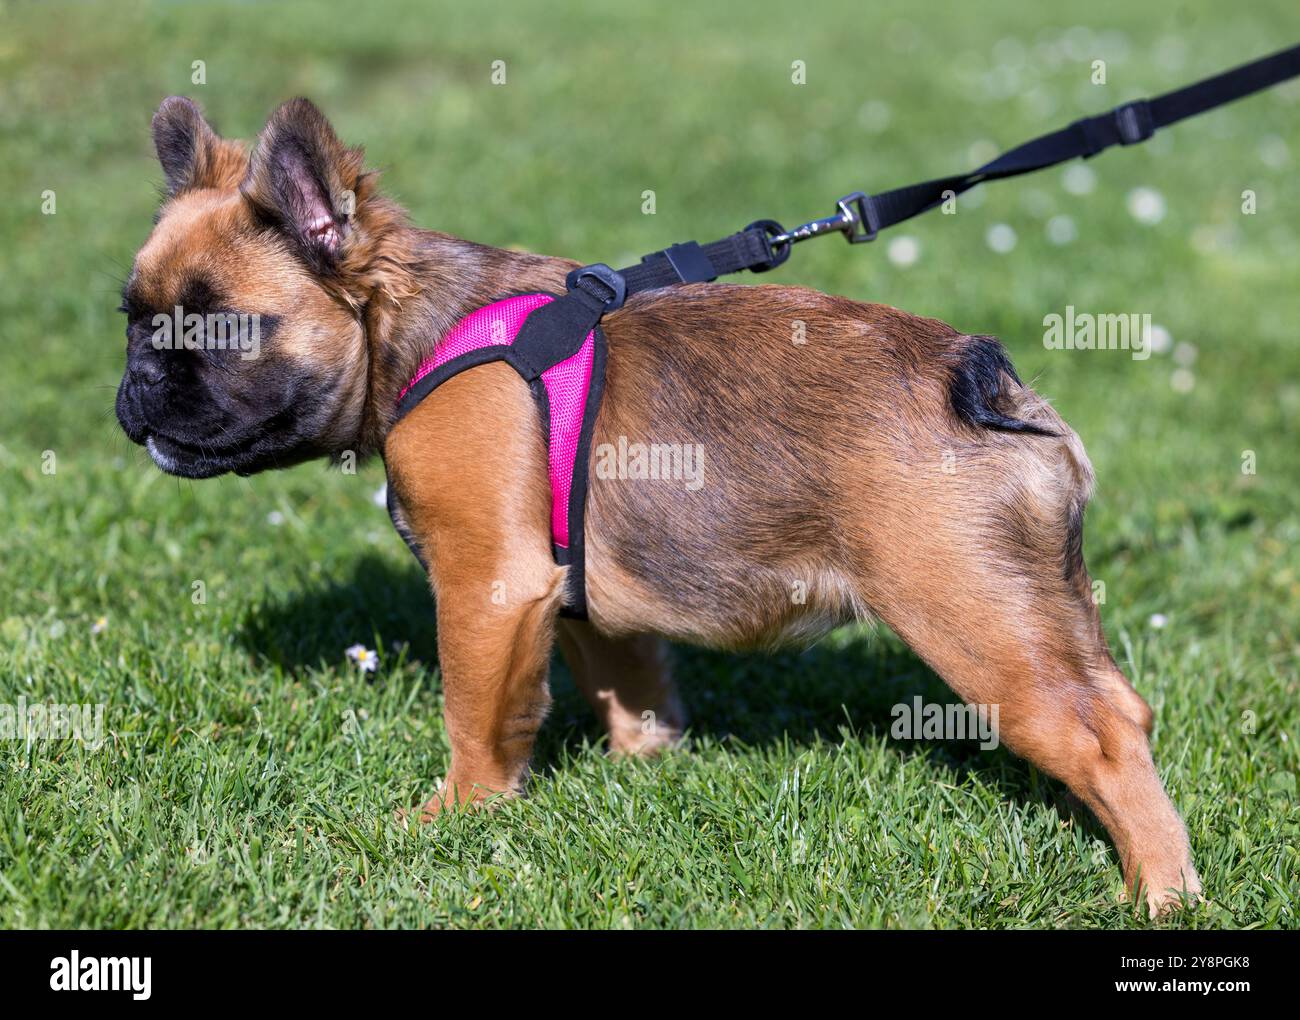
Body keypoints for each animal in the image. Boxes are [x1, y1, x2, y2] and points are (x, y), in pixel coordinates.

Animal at [116, 97, 1201, 914]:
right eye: (134, 319)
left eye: (218, 329)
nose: (137, 381)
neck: (410, 330)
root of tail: (976, 377)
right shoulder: (573, 591)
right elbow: (624, 677)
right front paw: (646, 766)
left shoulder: (487, 585)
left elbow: (476, 716)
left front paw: (456, 816)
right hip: (1039, 604)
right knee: (1119, 706)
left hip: (976, 622)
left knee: (1103, 738)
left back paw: (1161, 893)